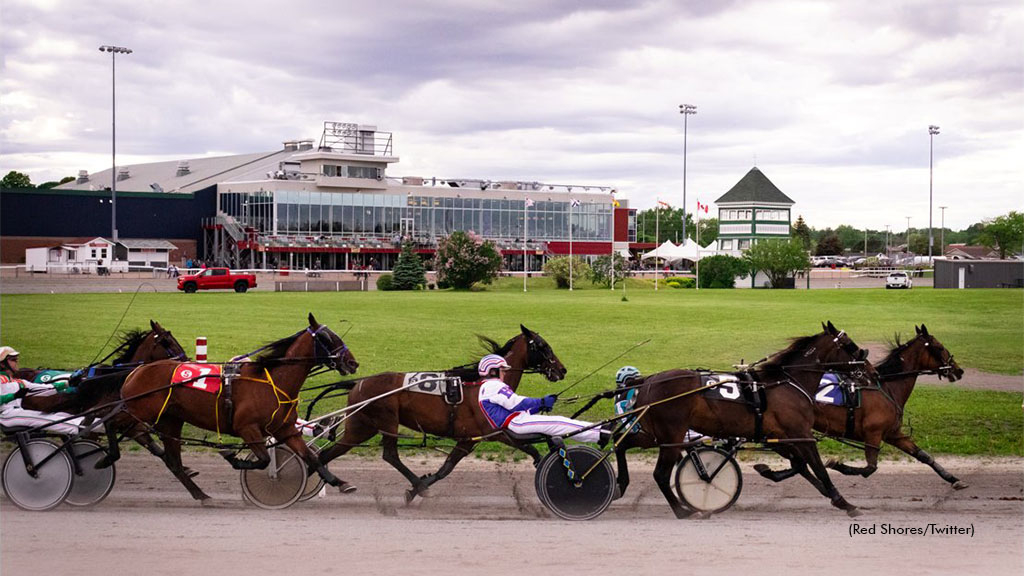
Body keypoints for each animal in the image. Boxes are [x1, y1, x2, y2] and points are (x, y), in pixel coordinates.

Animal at [112, 311, 358, 500]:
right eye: (326, 337)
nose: (352, 362)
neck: (272, 381)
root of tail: (136, 371)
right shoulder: (247, 428)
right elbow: (264, 459)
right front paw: (232, 456)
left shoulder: (284, 429)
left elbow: (310, 457)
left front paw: (340, 482)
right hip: (137, 410)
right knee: (114, 423)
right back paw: (108, 456)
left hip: (169, 420)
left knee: (173, 461)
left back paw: (201, 495)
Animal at [315, 325, 565, 500]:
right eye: (543, 345)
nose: (562, 369)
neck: (484, 382)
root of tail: (358, 383)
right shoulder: (490, 432)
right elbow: (529, 448)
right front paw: (418, 488)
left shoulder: (467, 439)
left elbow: (446, 468)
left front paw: (418, 488)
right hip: (386, 421)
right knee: (390, 455)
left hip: (362, 427)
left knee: (328, 453)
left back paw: (337, 482)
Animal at [610, 319, 876, 518]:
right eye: (849, 344)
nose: (871, 370)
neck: (786, 383)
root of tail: (647, 381)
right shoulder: (801, 433)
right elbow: (818, 468)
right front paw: (845, 503)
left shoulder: (780, 436)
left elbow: (802, 466)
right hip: (671, 436)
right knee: (660, 475)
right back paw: (684, 511)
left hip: (654, 434)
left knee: (621, 443)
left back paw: (621, 485)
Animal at [761, 325, 966, 485]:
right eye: (940, 347)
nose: (959, 370)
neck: (886, 387)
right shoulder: (873, 433)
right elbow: (870, 468)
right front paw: (838, 465)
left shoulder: (892, 433)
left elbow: (923, 455)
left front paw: (953, 479)